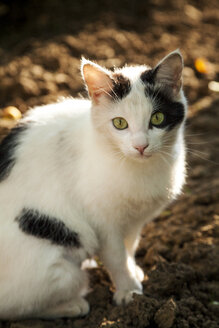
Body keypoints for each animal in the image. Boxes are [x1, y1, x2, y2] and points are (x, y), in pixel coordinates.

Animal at [0, 50, 186, 320]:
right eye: (119, 123)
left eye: (158, 118)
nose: (141, 146)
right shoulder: (103, 223)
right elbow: (116, 257)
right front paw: (130, 293)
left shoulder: (133, 221)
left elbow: (129, 246)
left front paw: (134, 273)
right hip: (61, 270)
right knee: (15, 307)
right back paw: (72, 305)